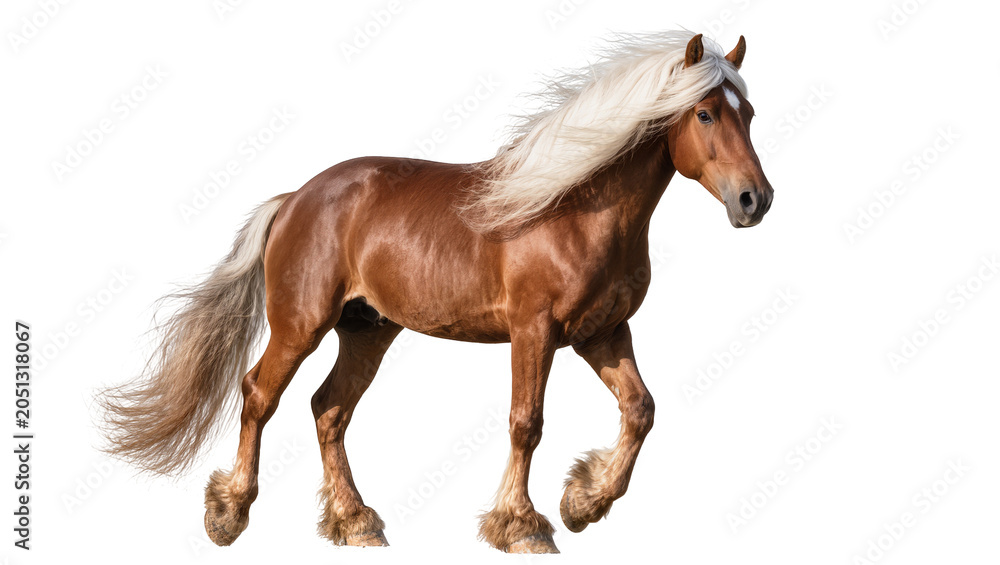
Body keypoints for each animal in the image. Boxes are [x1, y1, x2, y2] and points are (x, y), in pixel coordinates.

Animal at [99, 30, 773, 554]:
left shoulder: (602, 334)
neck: (577, 210)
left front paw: (583, 502)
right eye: (706, 113)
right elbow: (526, 422)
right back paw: (229, 514)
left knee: (328, 410)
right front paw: (522, 525)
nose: (754, 200)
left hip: (367, 331)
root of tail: (296, 199)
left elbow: (640, 410)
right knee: (260, 395)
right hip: (300, 325)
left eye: (748, 113)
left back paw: (355, 522)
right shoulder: (534, 331)